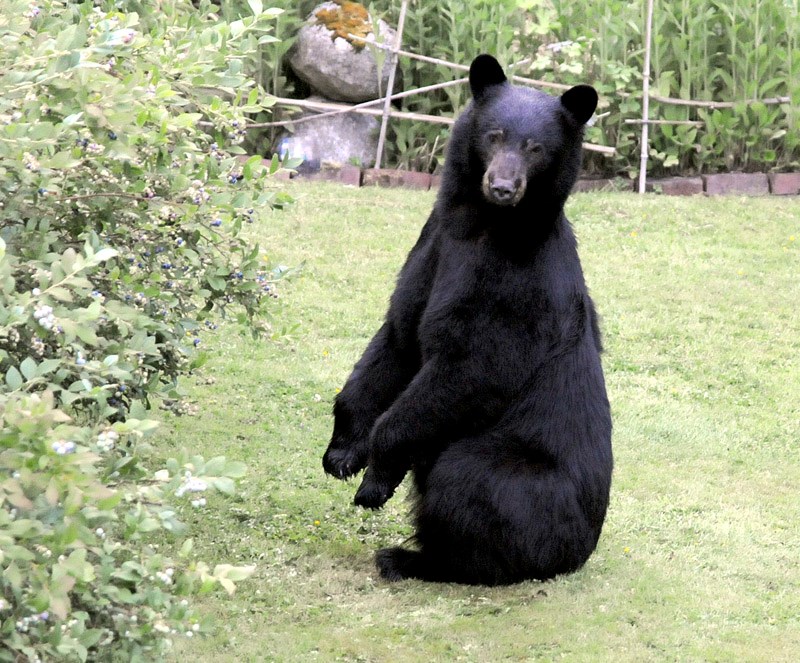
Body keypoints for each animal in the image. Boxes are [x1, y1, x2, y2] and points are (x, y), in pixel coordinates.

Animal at [324, 55, 612, 588]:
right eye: (495, 135)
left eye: (536, 148)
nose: (502, 187)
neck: (480, 225)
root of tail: (581, 552)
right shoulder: (433, 245)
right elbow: (396, 336)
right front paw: (343, 453)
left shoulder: (515, 289)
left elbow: (472, 366)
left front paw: (375, 479)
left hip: (514, 474)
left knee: (466, 484)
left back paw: (411, 559)